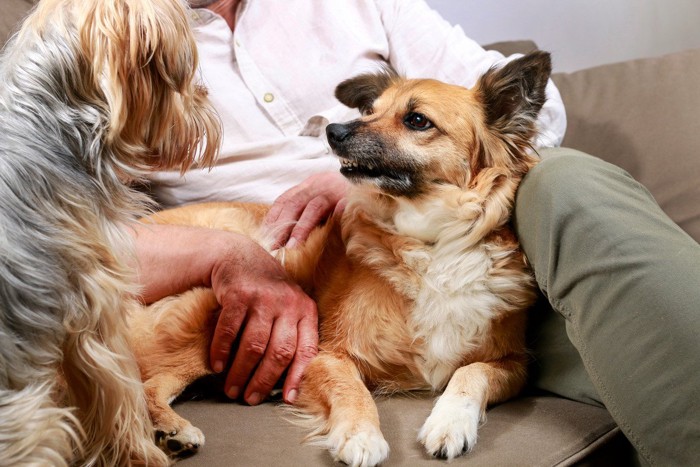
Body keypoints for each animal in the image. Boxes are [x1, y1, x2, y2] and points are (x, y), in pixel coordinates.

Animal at [0, 0, 220, 464]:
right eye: (184, 73)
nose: (207, 99)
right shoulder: (96, 304)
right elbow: (118, 393)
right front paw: (140, 453)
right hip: (37, 426)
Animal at [130, 51, 548, 464]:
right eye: (371, 111)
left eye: (416, 120)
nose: (333, 131)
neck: (433, 243)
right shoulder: (325, 353)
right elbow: (351, 389)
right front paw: (360, 435)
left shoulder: (515, 364)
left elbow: (470, 373)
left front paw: (450, 423)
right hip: (214, 301)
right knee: (145, 384)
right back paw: (172, 429)